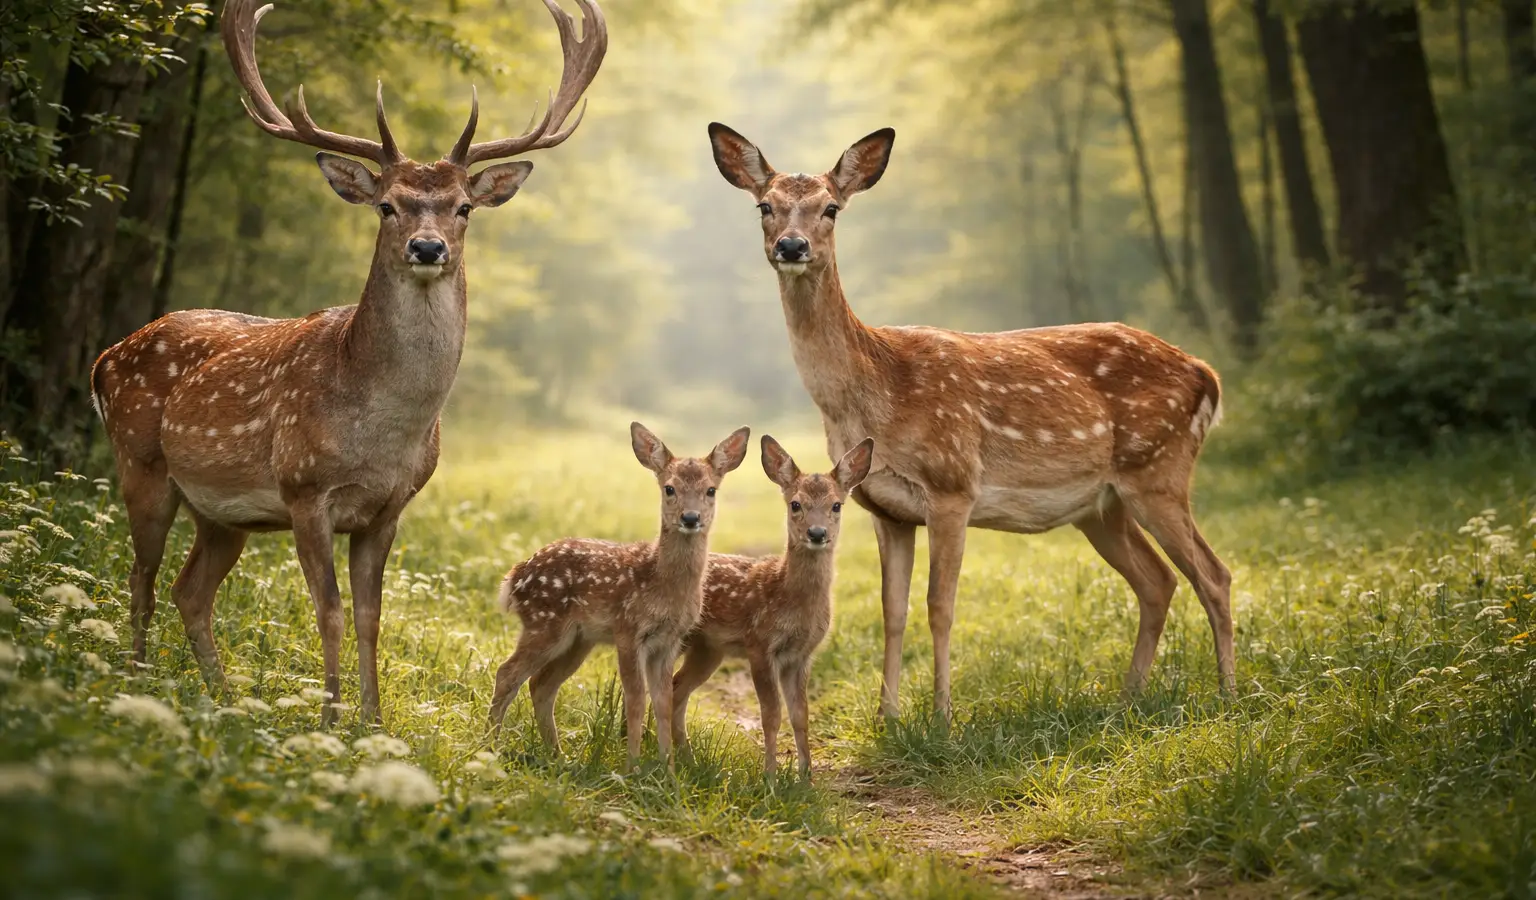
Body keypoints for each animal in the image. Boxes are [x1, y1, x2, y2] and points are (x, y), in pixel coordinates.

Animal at [88, 0, 607, 726]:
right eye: (387, 205)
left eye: (464, 208)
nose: (427, 247)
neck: (382, 432)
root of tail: (107, 355)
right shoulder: (305, 489)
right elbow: (329, 612)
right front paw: (330, 719)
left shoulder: (389, 508)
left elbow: (370, 617)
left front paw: (373, 722)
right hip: (142, 463)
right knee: (140, 575)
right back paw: (133, 681)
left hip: (221, 512)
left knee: (190, 590)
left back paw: (221, 697)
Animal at [489, 423, 751, 769]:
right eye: (669, 488)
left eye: (711, 490)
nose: (690, 518)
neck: (662, 584)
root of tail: (515, 576)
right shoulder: (628, 630)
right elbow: (636, 699)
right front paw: (632, 768)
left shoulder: (669, 640)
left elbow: (663, 702)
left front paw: (667, 770)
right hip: (544, 623)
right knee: (508, 673)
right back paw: (488, 746)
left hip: (577, 639)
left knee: (541, 684)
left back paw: (559, 756)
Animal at [671, 435, 874, 780]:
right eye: (796, 504)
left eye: (836, 505)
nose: (817, 533)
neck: (788, 596)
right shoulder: (760, 645)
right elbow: (771, 715)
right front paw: (770, 777)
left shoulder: (801, 655)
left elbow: (801, 715)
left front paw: (806, 778)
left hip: (708, 649)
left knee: (676, 686)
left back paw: (684, 757)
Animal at [707, 123, 1234, 724]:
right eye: (764, 206)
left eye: (831, 208)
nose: (792, 247)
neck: (876, 393)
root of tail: (1207, 374)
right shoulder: (885, 509)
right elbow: (892, 610)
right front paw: (888, 716)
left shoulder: (953, 486)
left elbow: (940, 605)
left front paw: (941, 715)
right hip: (1103, 505)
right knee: (1159, 580)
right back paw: (1129, 698)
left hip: (1159, 468)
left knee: (1213, 574)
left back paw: (1228, 694)